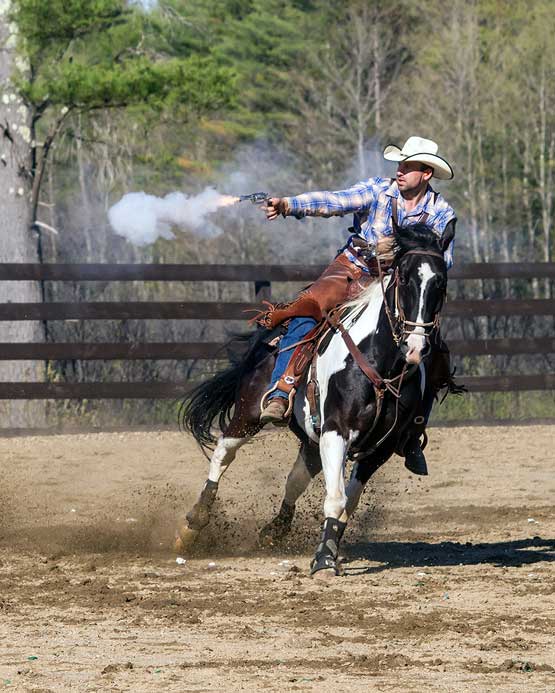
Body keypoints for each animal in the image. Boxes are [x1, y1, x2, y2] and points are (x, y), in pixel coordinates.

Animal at [178, 224, 452, 576]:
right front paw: (323, 560)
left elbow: (347, 503)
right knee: (224, 452)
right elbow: (336, 497)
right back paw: (194, 523)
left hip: (311, 439)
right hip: (249, 413)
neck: (379, 364)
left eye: (440, 282)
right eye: (403, 278)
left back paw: (275, 530)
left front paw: (329, 548)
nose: (415, 346)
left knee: (294, 481)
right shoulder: (336, 431)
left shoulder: (380, 449)